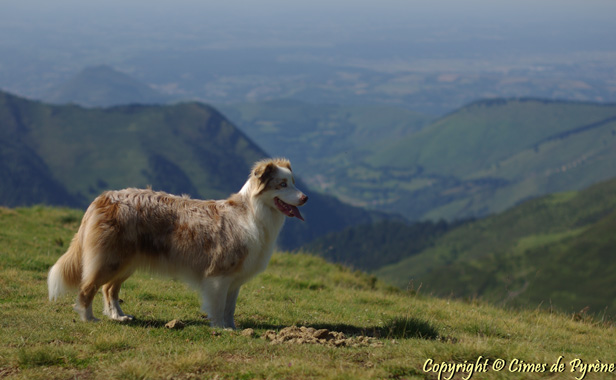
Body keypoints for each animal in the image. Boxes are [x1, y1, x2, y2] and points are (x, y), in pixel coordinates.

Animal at [47, 159, 306, 328]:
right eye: (282, 184)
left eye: (293, 182)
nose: (305, 197)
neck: (252, 214)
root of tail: (103, 198)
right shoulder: (219, 276)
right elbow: (218, 307)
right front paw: (220, 329)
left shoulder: (234, 280)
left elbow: (230, 307)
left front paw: (232, 328)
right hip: (109, 260)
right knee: (88, 287)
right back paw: (88, 318)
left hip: (125, 262)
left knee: (109, 288)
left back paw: (119, 316)